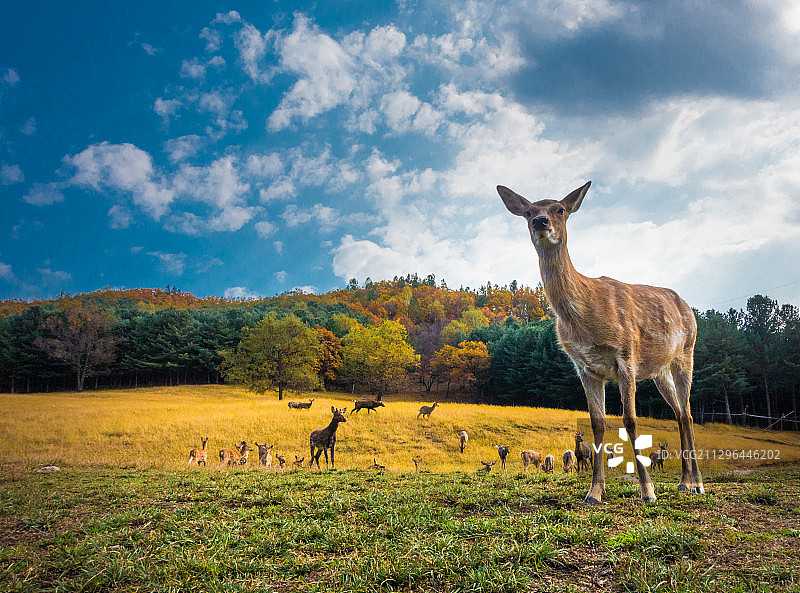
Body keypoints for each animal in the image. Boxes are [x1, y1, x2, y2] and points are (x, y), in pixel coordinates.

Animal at [498, 181, 703, 503]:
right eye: (529, 211)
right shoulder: (585, 367)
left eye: (560, 209)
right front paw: (594, 492)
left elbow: (630, 420)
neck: (586, 315)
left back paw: (696, 483)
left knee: (689, 412)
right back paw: (683, 482)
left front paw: (648, 492)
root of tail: (688, 308)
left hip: (686, 352)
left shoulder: (626, 355)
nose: (540, 222)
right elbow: (598, 422)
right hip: (659, 371)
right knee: (680, 414)